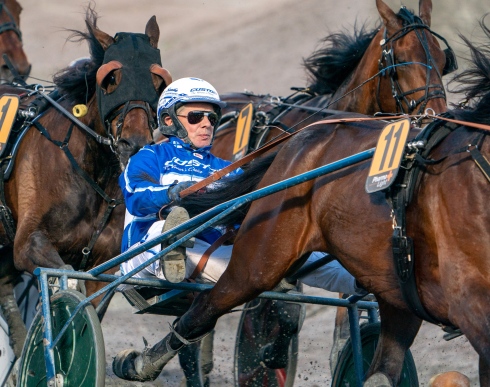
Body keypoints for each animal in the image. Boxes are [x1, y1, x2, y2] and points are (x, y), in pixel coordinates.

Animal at [0, 6, 172, 358]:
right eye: (111, 79)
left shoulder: (102, 266)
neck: (90, 171)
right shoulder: (27, 244)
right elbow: (59, 278)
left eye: (157, 80)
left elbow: (88, 306)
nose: (134, 143)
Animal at [118, 17, 490, 387]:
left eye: (443, 61)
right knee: (204, 307)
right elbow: (285, 312)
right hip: (257, 260)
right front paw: (271, 352)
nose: (433, 113)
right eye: (399, 61)